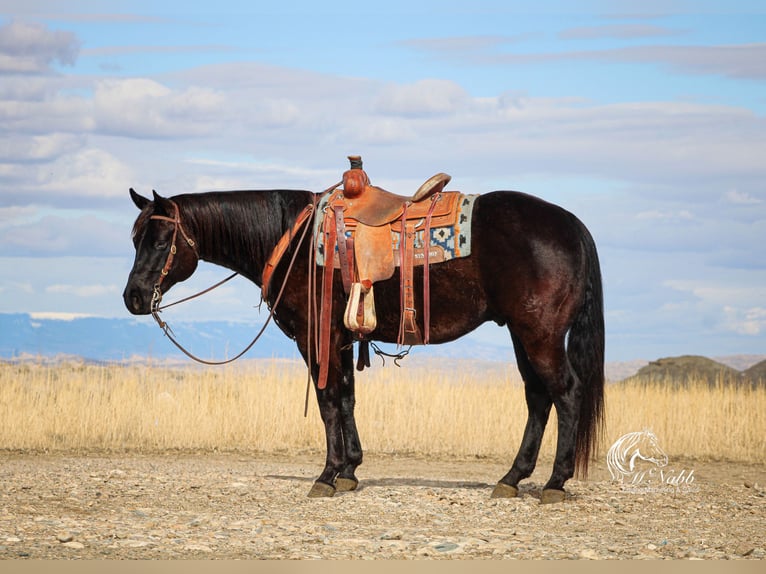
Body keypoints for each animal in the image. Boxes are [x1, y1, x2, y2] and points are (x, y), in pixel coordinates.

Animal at [124, 182, 608, 506]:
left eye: (162, 240)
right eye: (134, 238)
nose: (133, 297)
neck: (294, 240)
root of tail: (571, 223)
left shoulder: (315, 337)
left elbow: (327, 401)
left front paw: (326, 475)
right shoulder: (341, 339)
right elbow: (346, 399)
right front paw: (350, 470)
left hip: (539, 334)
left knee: (565, 393)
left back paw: (554, 483)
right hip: (521, 334)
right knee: (538, 397)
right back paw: (512, 478)